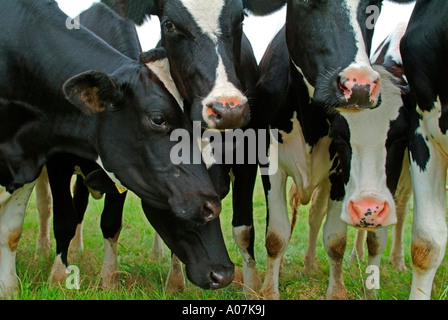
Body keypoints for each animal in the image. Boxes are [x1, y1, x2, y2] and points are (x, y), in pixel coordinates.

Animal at [0, 0, 234, 298]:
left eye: (223, 189)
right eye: (159, 119)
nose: (224, 274)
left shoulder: (121, 173)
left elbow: (110, 223)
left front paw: (110, 278)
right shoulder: (55, 162)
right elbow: (63, 219)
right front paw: (58, 277)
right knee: (47, 206)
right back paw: (47, 249)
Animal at [254, 0, 414, 300]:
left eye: (374, 7)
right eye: (304, 4)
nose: (359, 85)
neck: (310, 119)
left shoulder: (340, 171)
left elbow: (335, 239)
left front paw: (337, 290)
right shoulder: (270, 162)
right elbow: (276, 235)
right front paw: (269, 290)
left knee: (317, 217)